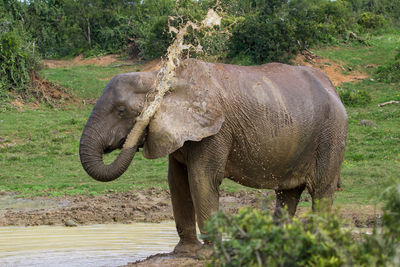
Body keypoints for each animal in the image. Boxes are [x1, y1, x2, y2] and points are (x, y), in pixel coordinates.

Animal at [79, 58, 346, 255]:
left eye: (121, 111)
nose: (134, 135)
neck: (160, 77)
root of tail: (333, 89)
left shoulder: (216, 131)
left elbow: (201, 178)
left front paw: (208, 253)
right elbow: (177, 181)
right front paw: (184, 252)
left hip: (331, 135)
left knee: (321, 190)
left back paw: (317, 243)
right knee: (287, 194)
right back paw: (276, 243)